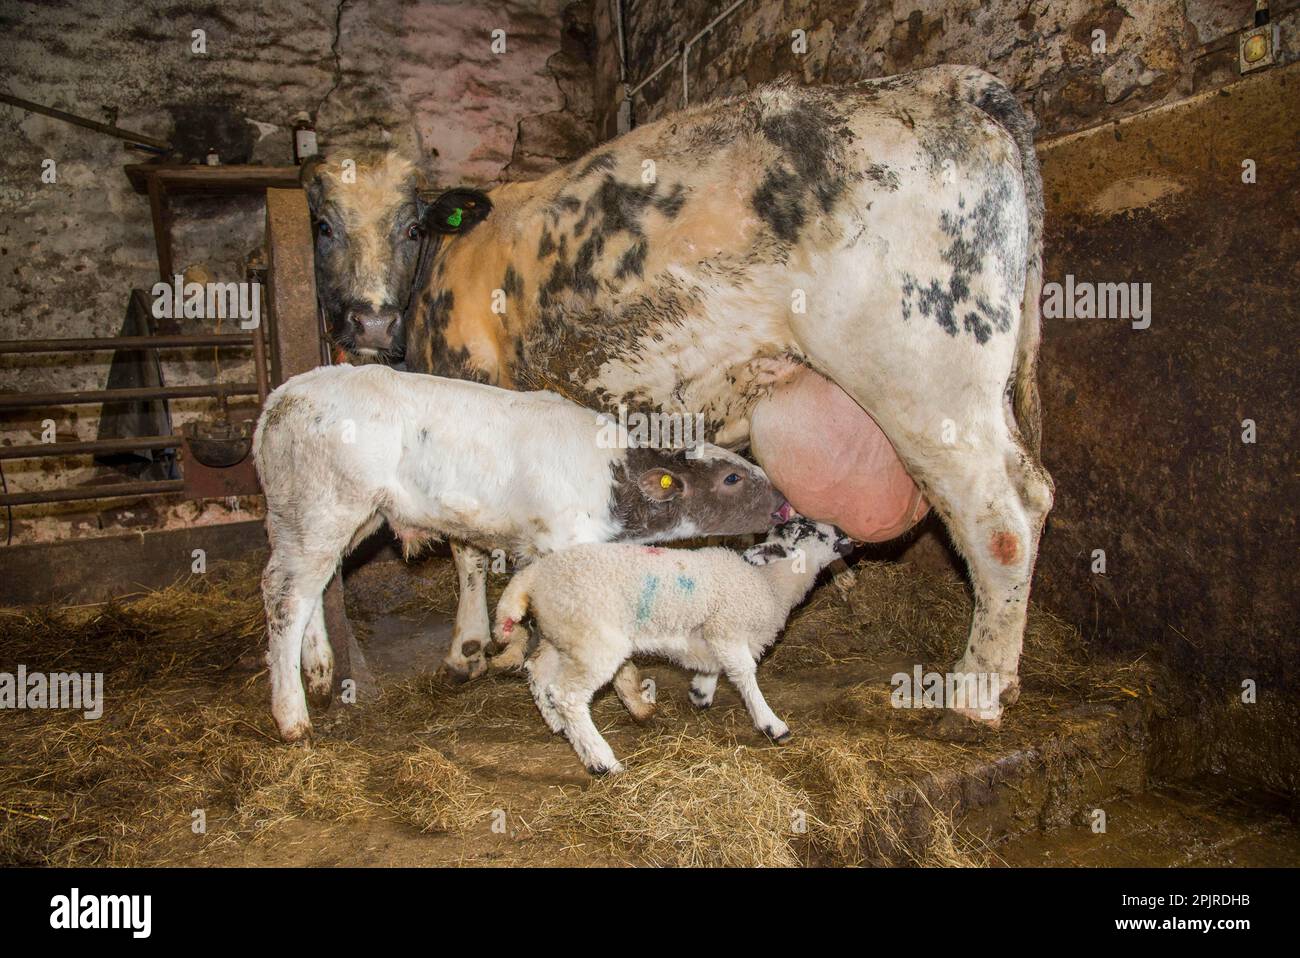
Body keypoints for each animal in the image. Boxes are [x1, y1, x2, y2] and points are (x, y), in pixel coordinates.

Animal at [253, 362, 789, 742]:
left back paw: (320, 673)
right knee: (285, 596)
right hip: (324, 507)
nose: (785, 505)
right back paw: (292, 715)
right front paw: (634, 698)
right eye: (733, 478)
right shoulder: (564, 547)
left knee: (312, 589)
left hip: (326, 518)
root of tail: (282, 397)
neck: (613, 481)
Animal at [491, 518, 855, 774]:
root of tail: (533, 576)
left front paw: (701, 691)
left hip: (563, 634)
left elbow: (715, 665)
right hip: (594, 640)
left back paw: (558, 724)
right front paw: (771, 724)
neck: (768, 583)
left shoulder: (713, 632)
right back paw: (601, 760)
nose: (846, 534)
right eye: (807, 529)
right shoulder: (728, 627)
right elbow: (744, 674)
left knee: (539, 672)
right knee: (567, 695)